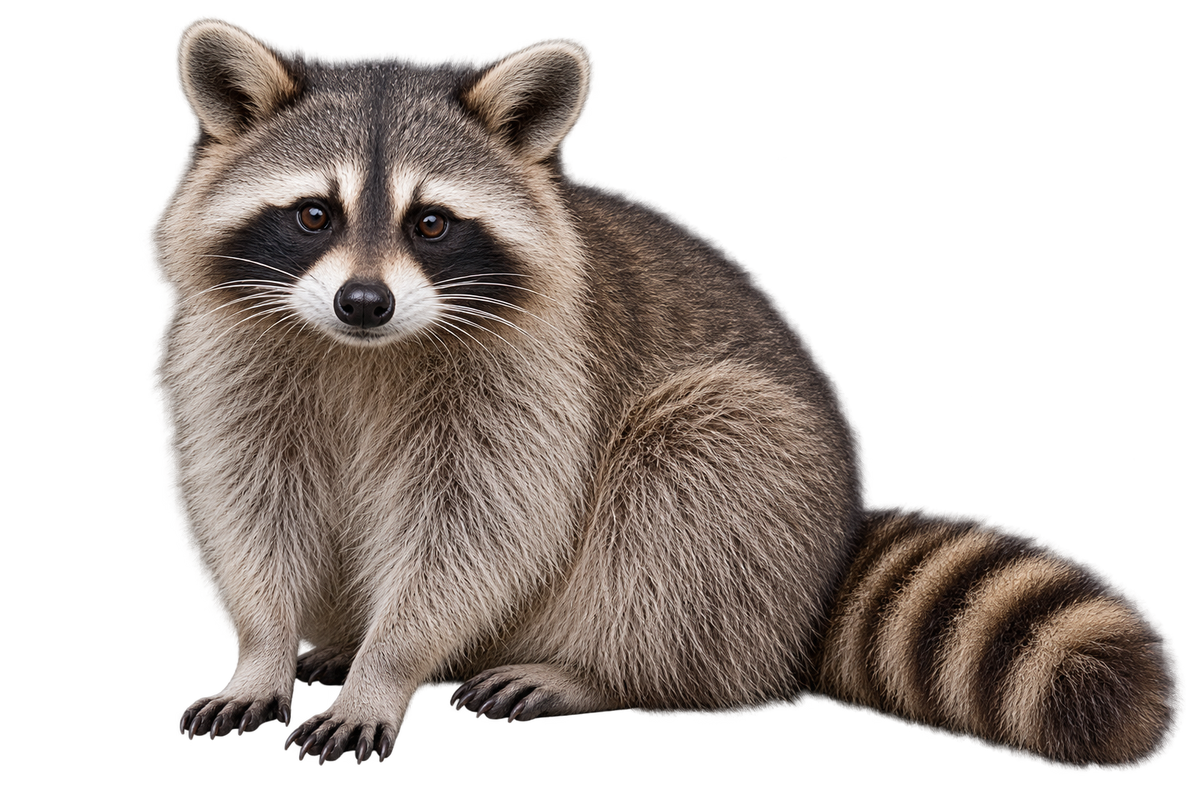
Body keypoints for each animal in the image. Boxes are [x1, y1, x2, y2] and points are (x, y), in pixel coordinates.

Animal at [154, 15, 1185, 771]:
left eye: (432, 224)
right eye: (313, 214)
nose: (363, 302)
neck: (363, 350)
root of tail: (819, 573)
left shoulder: (532, 376)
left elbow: (477, 528)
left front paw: (388, 668)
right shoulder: (247, 354)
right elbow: (256, 501)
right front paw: (261, 652)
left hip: (755, 485)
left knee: (690, 475)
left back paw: (597, 670)